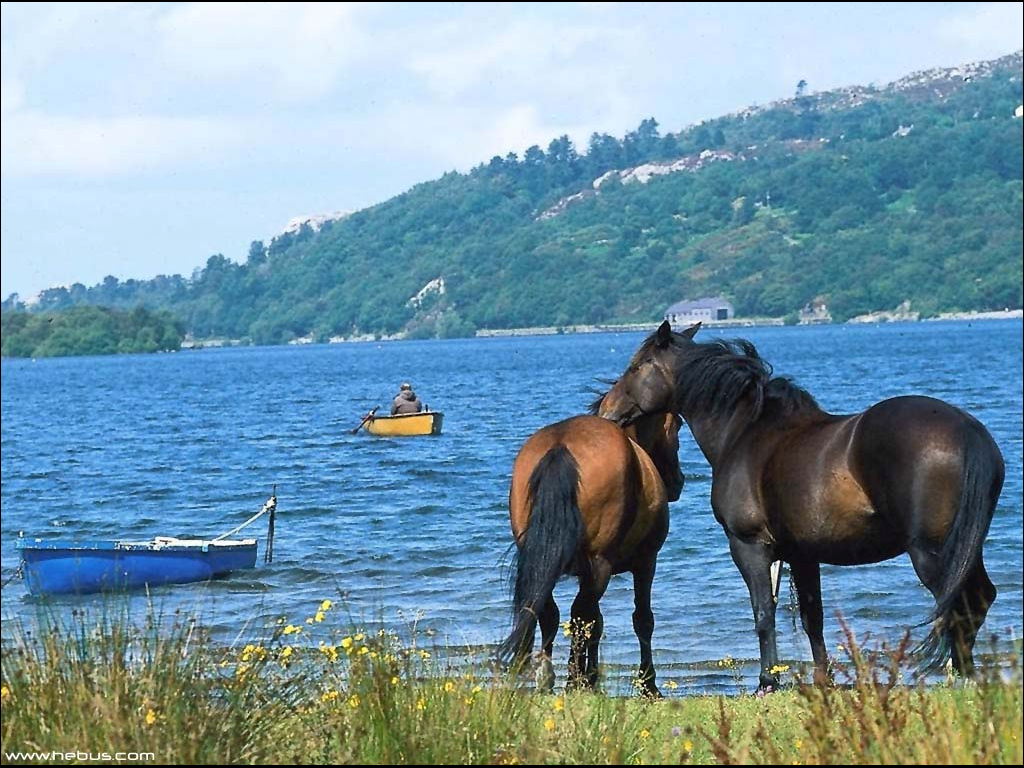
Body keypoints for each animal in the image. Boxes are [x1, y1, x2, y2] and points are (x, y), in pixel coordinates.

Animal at [499, 409, 684, 696]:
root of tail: (561, 446)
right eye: (676, 428)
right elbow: (641, 620)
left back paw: (549, 678)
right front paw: (648, 685)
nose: (679, 481)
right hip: (601, 566)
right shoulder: (645, 563)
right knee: (578, 616)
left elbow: (595, 623)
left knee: (550, 612)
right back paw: (573, 680)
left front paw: (592, 677)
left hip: (544, 565)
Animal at [602, 321, 1003, 696]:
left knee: (958, 604)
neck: (746, 433)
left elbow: (763, 612)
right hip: (965, 547)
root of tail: (967, 429)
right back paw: (968, 677)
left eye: (637, 366)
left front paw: (767, 681)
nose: (608, 411)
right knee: (978, 599)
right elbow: (813, 618)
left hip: (931, 552)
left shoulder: (749, 546)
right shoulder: (802, 554)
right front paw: (822, 681)